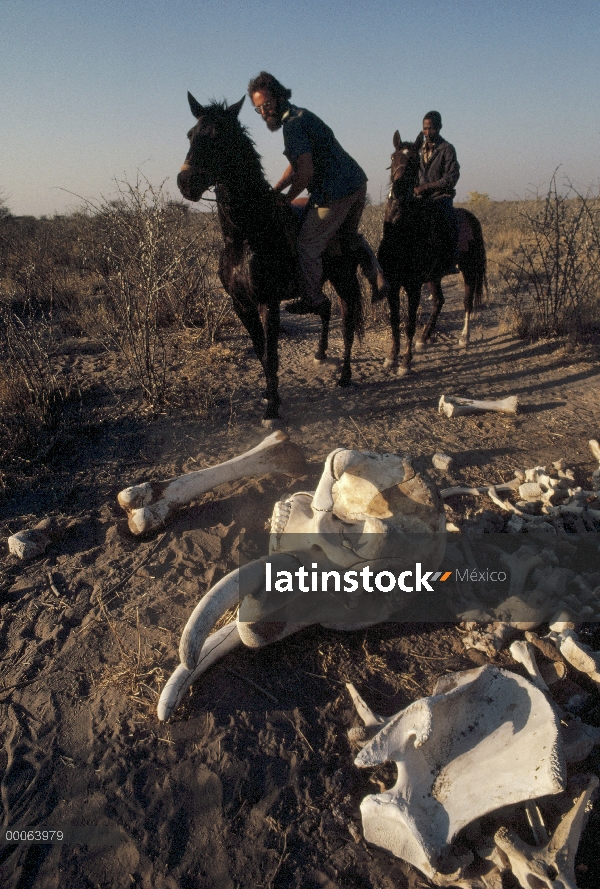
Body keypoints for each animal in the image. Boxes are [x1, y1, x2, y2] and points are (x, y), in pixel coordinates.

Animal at [176, 92, 368, 424]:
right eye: (191, 134)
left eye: (218, 136)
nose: (185, 182)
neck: (246, 237)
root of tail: (351, 231)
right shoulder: (241, 304)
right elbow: (260, 351)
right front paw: (269, 394)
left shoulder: (269, 301)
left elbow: (273, 353)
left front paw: (272, 408)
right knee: (325, 308)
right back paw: (320, 354)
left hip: (344, 281)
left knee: (347, 322)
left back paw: (344, 376)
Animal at [380, 131, 488, 374]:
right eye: (392, 158)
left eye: (413, 161)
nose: (396, 191)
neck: (402, 233)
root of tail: (473, 219)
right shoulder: (394, 284)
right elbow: (394, 320)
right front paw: (391, 357)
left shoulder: (413, 286)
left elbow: (409, 323)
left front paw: (405, 363)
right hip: (434, 277)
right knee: (439, 301)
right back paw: (425, 337)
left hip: (469, 270)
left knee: (467, 302)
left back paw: (464, 337)